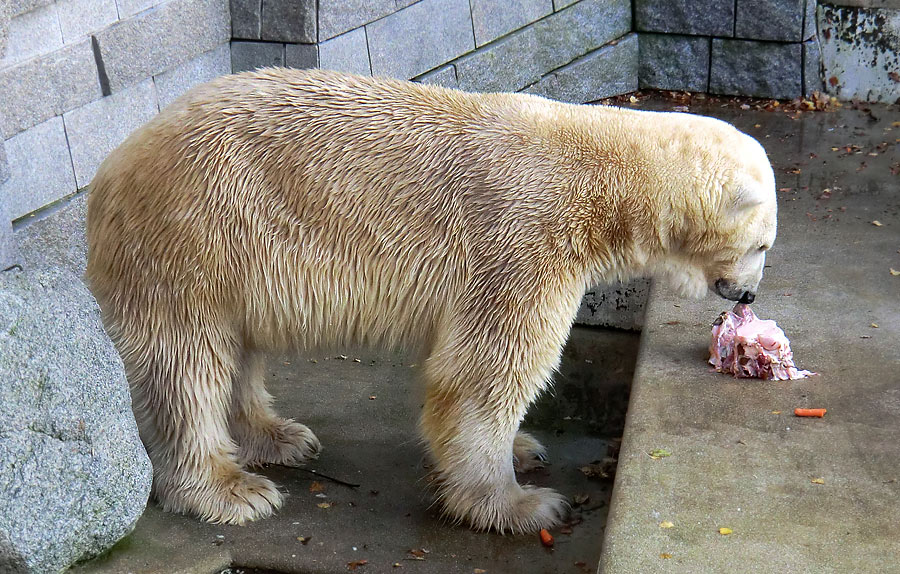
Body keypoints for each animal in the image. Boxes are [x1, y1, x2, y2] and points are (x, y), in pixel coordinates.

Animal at [84, 68, 776, 536]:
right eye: (763, 244)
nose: (748, 293)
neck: (601, 177)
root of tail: (113, 167)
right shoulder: (524, 240)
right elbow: (485, 375)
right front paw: (520, 504)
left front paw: (525, 449)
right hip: (196, 235)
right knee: (187, 362)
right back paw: (229, 490)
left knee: (238, 349)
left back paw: (279, 436)